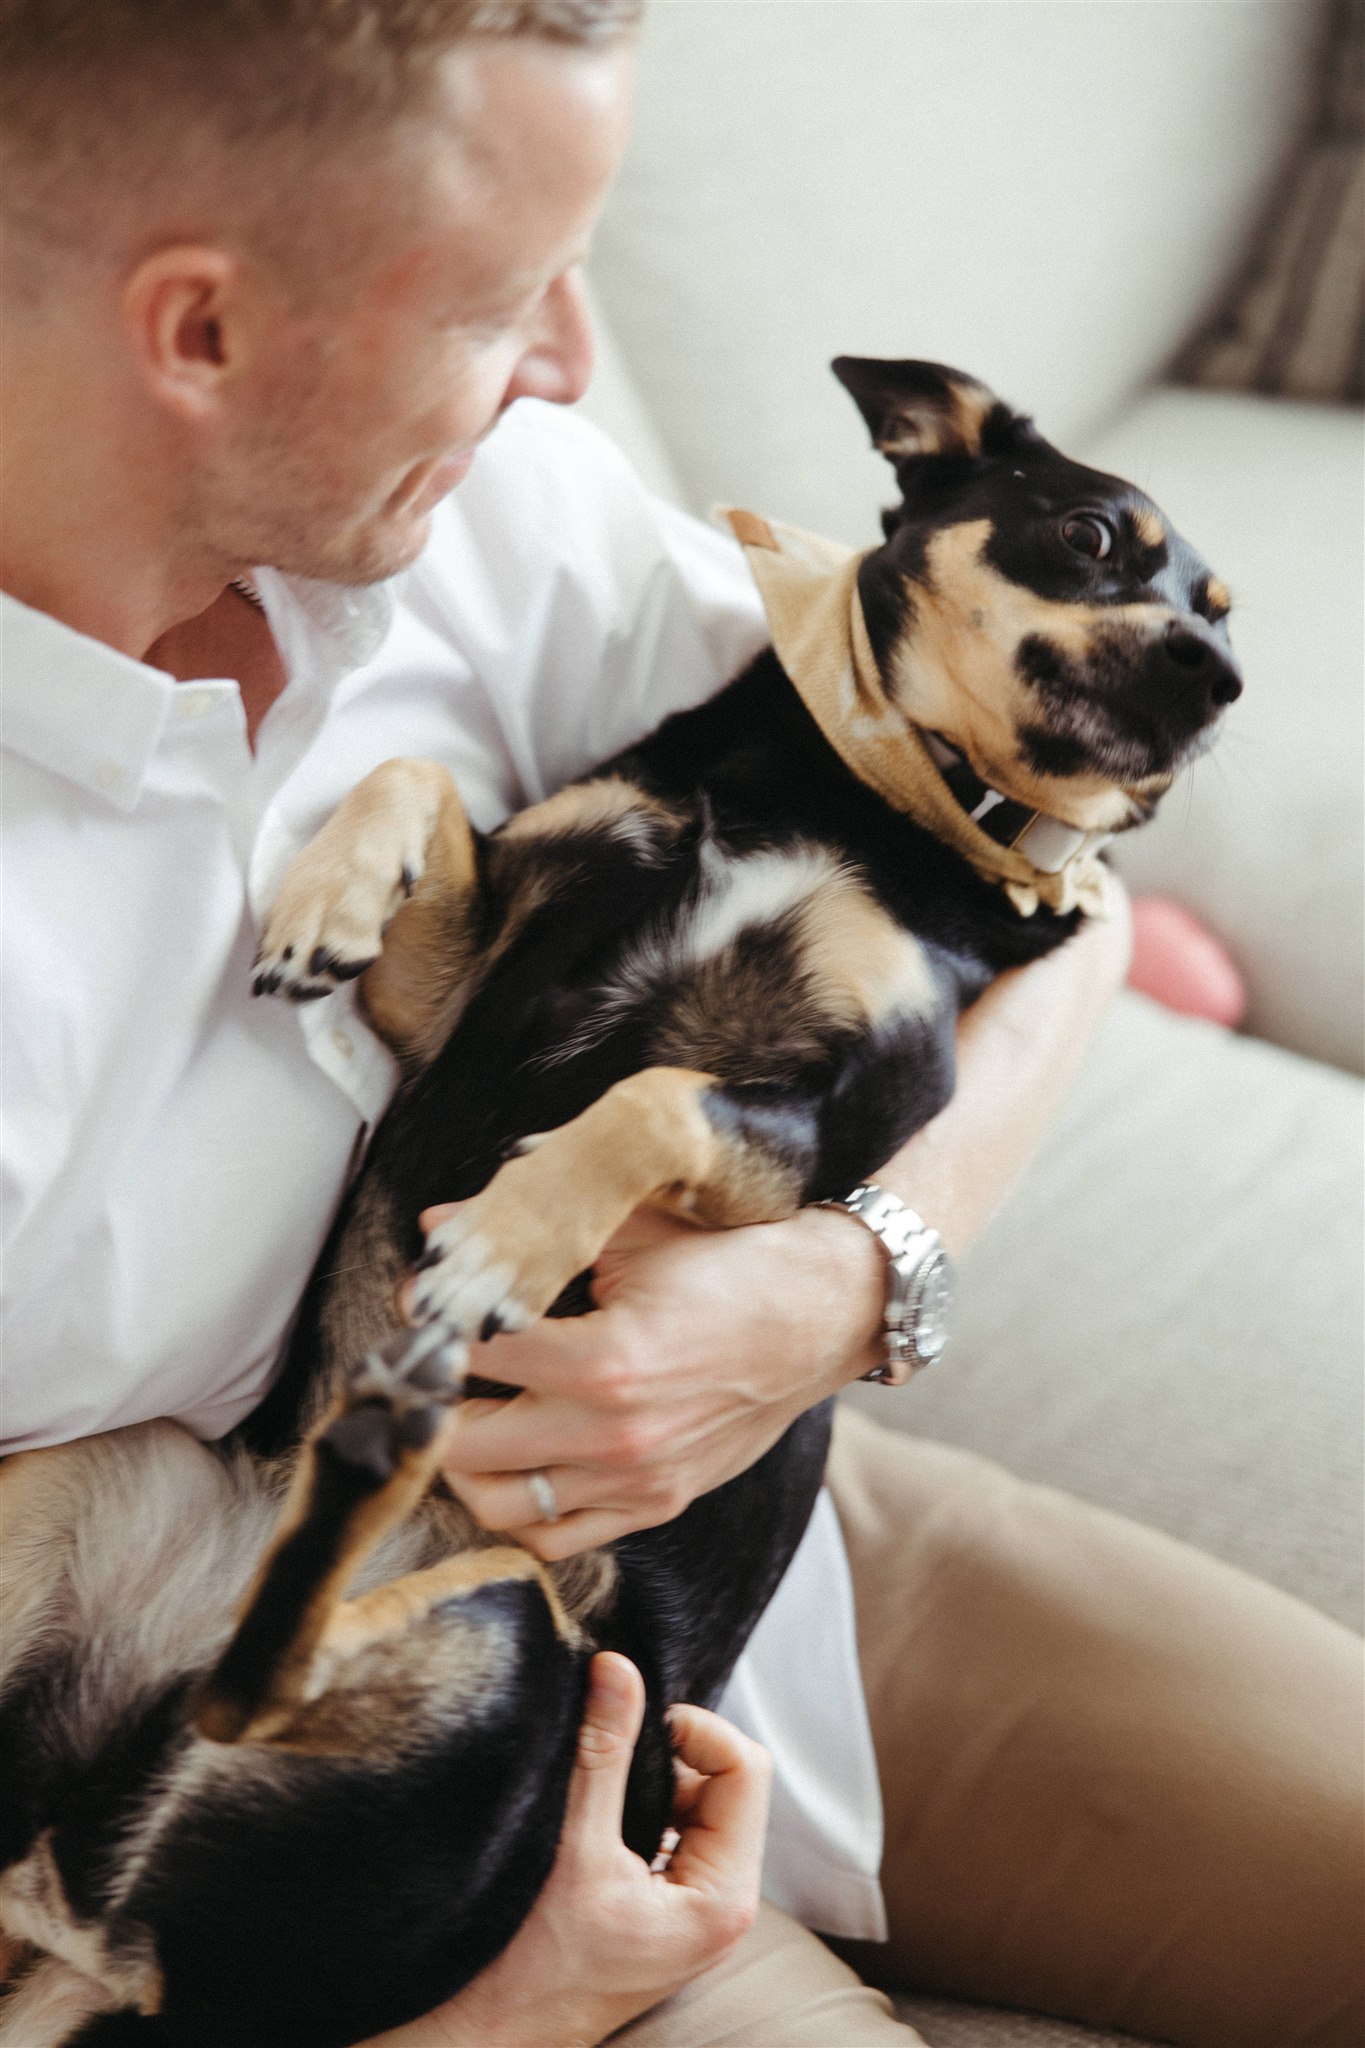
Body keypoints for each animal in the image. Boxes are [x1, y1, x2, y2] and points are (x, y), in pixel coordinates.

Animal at [0, 360, 1236, 2039]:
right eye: (1100, 537)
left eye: (1227, 621)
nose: (1219, 685)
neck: (873, 803)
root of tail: (123, 1960)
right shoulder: (457, 983)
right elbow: (418, 777)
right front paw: (325, 895)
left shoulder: (824, 1130)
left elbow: (647, 1100)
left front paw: (506, 1246)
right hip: (73, 1496)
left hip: (534, 1645)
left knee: (254, 1691)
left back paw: (370, 1465)